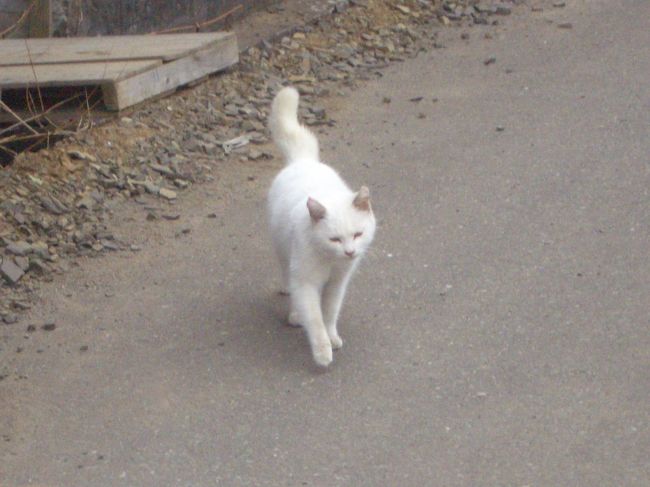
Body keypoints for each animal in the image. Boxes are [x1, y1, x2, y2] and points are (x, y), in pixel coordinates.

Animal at [264, 86, 374, 366]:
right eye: (334, 239)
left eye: (358, 234)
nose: (350, 252)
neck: (330, 261)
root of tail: (303, 161)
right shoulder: (305, 283)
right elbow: (314, 319)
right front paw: (323, 351)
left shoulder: (338, 283)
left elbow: (330, 312)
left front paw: (332, 336)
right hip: (283, 250)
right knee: (288, 278)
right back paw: (294, 313)